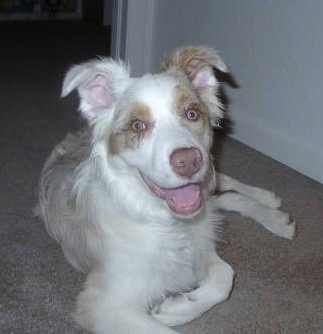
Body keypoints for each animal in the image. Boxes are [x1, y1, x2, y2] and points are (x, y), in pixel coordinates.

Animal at [38, 45, 296, 332]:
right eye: (137, 125)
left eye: (192, 114)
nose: (188, 161)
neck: (164, 221)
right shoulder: (105, 305)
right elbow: (221, 279)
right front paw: (173, 310)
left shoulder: (200, 244)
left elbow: (225, 276)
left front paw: (175, 308)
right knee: (224, 198)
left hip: (209, 177)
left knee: (226, 188)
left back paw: (271, 207)